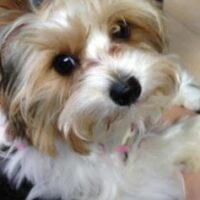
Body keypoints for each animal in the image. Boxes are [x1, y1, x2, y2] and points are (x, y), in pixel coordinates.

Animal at [0, 0, 200, 199]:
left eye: (122, 30)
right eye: (63, 63)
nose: (127, 90)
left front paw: (185, 91)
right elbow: (151, 152)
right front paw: (192, 132)